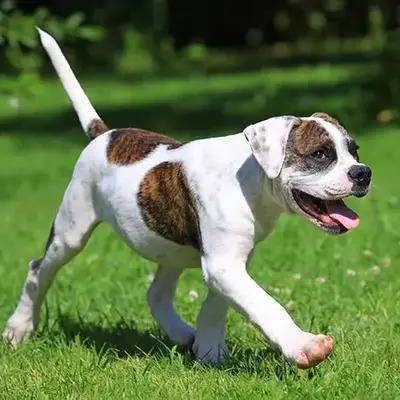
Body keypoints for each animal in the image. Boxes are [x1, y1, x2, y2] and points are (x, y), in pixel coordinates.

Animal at [3, 29, 372, 370]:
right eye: (320, 154)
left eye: (354, 151)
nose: (362, 173)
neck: (250, 180)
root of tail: (105, 135)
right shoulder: (224, 264)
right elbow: (263, 303)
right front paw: (304, 346)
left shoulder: (231, 262)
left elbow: (218, 304)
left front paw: (209, 351)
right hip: (71, 228)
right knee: (38, 270)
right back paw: (18, 328)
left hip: (171, 246)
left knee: (156, 293)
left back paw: (182, 335)